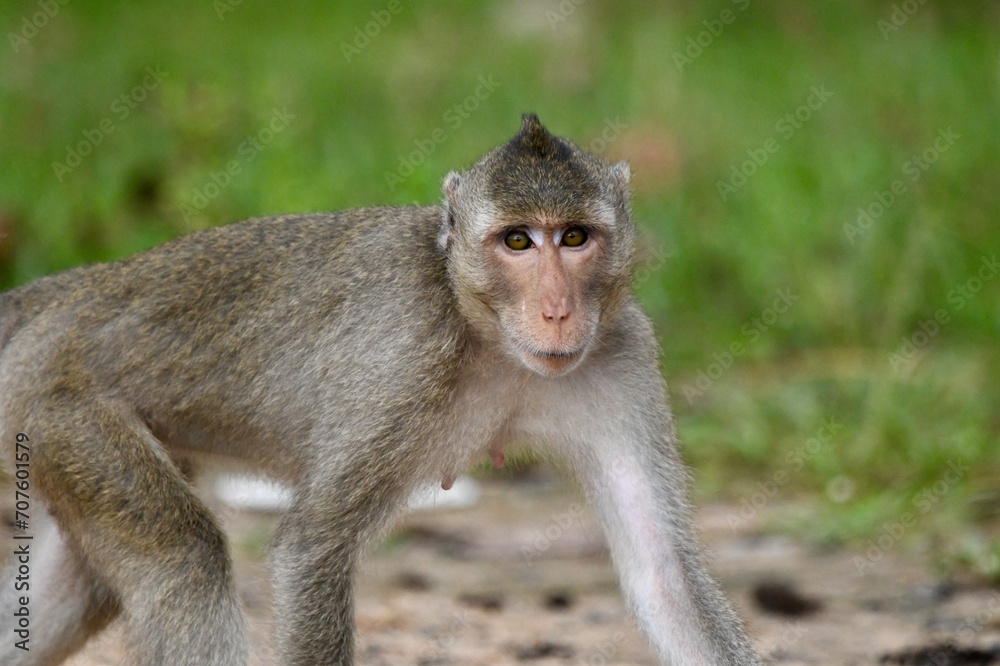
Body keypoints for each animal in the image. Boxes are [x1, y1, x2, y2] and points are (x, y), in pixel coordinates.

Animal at [0, 115, 752, 664]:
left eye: (574, 238)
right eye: (517, 241)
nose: (558, 311)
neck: (486, 335)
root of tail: (68, 292)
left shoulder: (622, 357)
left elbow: (665, 579)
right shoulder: (404, 355)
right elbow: (312, 547)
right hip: (61, 404)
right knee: (184, 558)